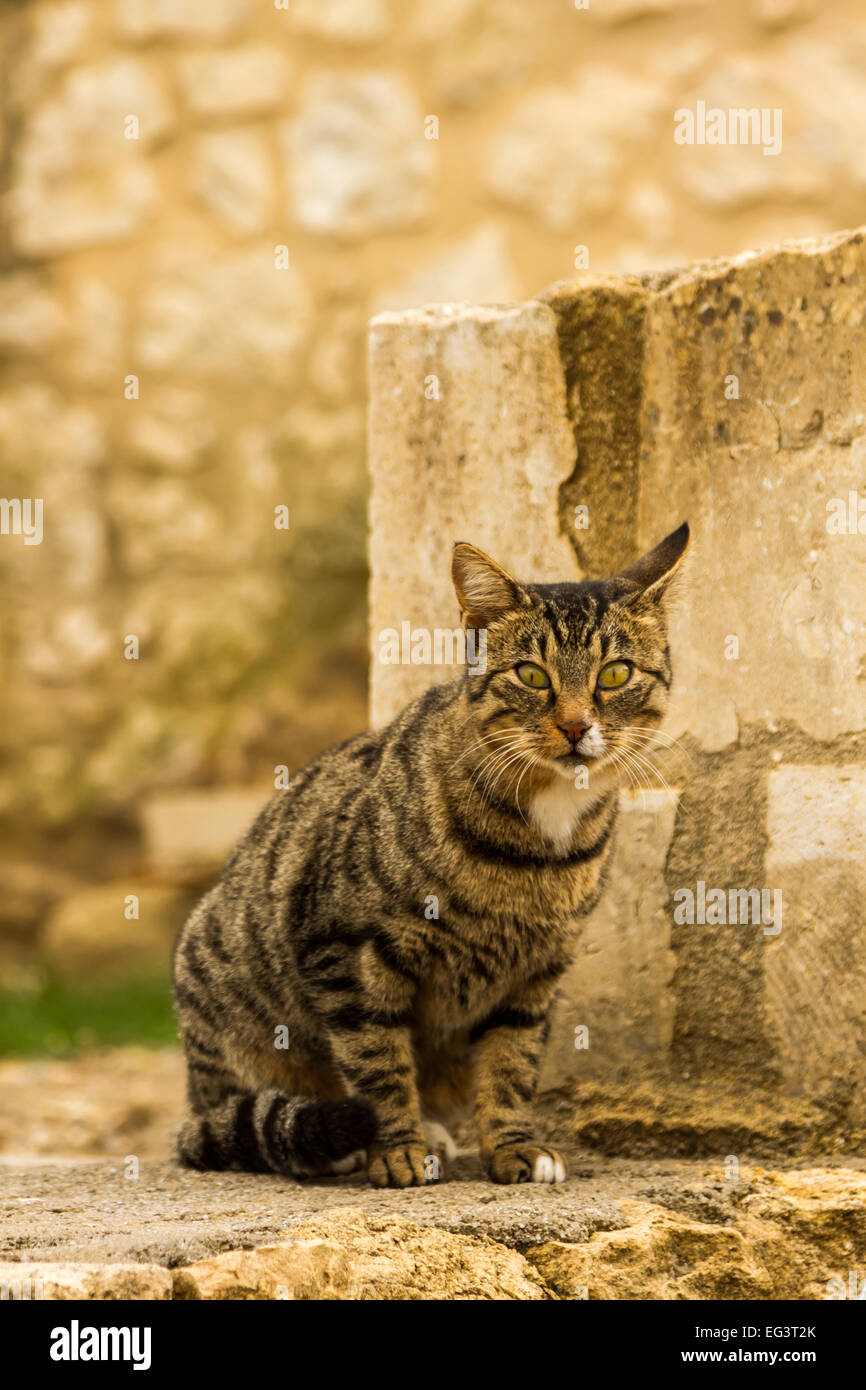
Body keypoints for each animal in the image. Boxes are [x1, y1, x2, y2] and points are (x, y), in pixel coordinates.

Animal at [173, 522, 692, 1184]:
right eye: (532, 675)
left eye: (616, 674)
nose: (576, 727)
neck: (540, 839)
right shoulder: (344, 950)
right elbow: (378, 1062)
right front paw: (397, 1149)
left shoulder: (535, 973)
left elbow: (511, 1063)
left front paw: (514, 1146)